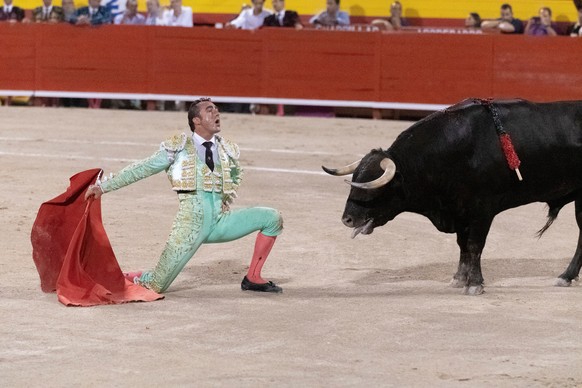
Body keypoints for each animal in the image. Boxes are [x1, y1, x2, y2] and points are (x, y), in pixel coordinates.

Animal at [324, 98, 582, 294]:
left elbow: (475, 245)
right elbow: (462, 245)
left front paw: (474, 285)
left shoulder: (482, 211)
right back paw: (567, 277)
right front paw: (459, 279)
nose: (347, 219)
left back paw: (565, 275)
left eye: (373, 188)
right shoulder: (459, 211)